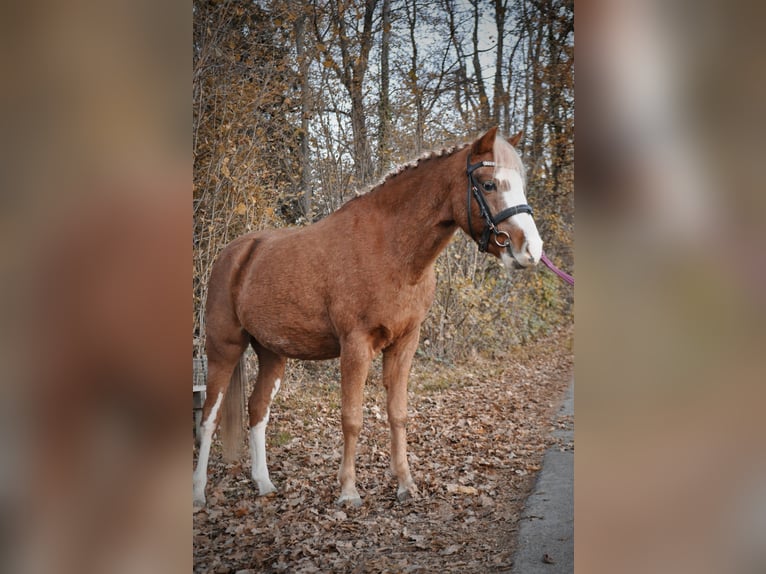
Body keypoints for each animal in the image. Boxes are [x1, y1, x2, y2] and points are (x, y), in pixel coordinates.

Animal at [195, 127, 544, 508]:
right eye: (488, 184)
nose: (532, 249)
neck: (390, 249)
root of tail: (234, 254)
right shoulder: (355, 346)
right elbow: (352, 418)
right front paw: (348, 491)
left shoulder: (405, 343)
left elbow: (398, 414)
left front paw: (405, 484)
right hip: (223, 348)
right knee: (209, 417)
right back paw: (198, 494)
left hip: (272, 352)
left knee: (257, 409)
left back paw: (264, 484)